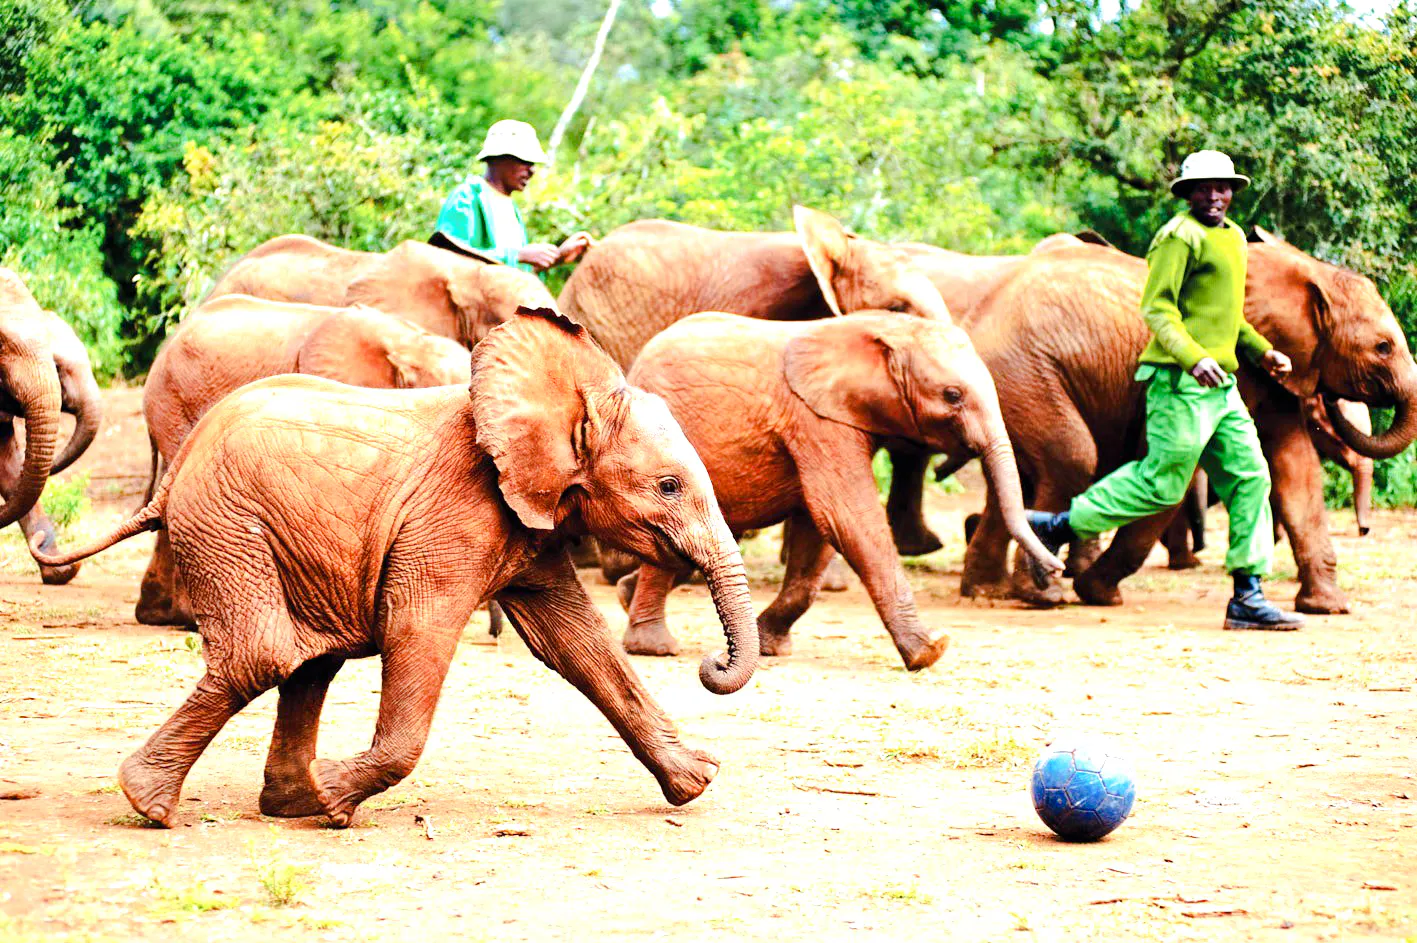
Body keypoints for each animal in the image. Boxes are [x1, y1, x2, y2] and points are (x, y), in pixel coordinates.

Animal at [617, 313, 1063, 671]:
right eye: (952, 396)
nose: (1055, 570)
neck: (884, 328)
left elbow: (816, 533)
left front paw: (770, 646)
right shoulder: (819, 422)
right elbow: (847, 517)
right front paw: (930, 652)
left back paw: (625, 596)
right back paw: (653, 648)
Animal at [918, 230, 1416, 612]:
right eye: (1384, 347)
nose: (1329, 399)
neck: (1306, 271)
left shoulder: (1273, 376)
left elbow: (1298, 475)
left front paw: (1326, 608)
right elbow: (1171, 476)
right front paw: (1099, 594)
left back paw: (988, 590)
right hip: (1023, 375)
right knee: (1071, 460)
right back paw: (1044, 595)